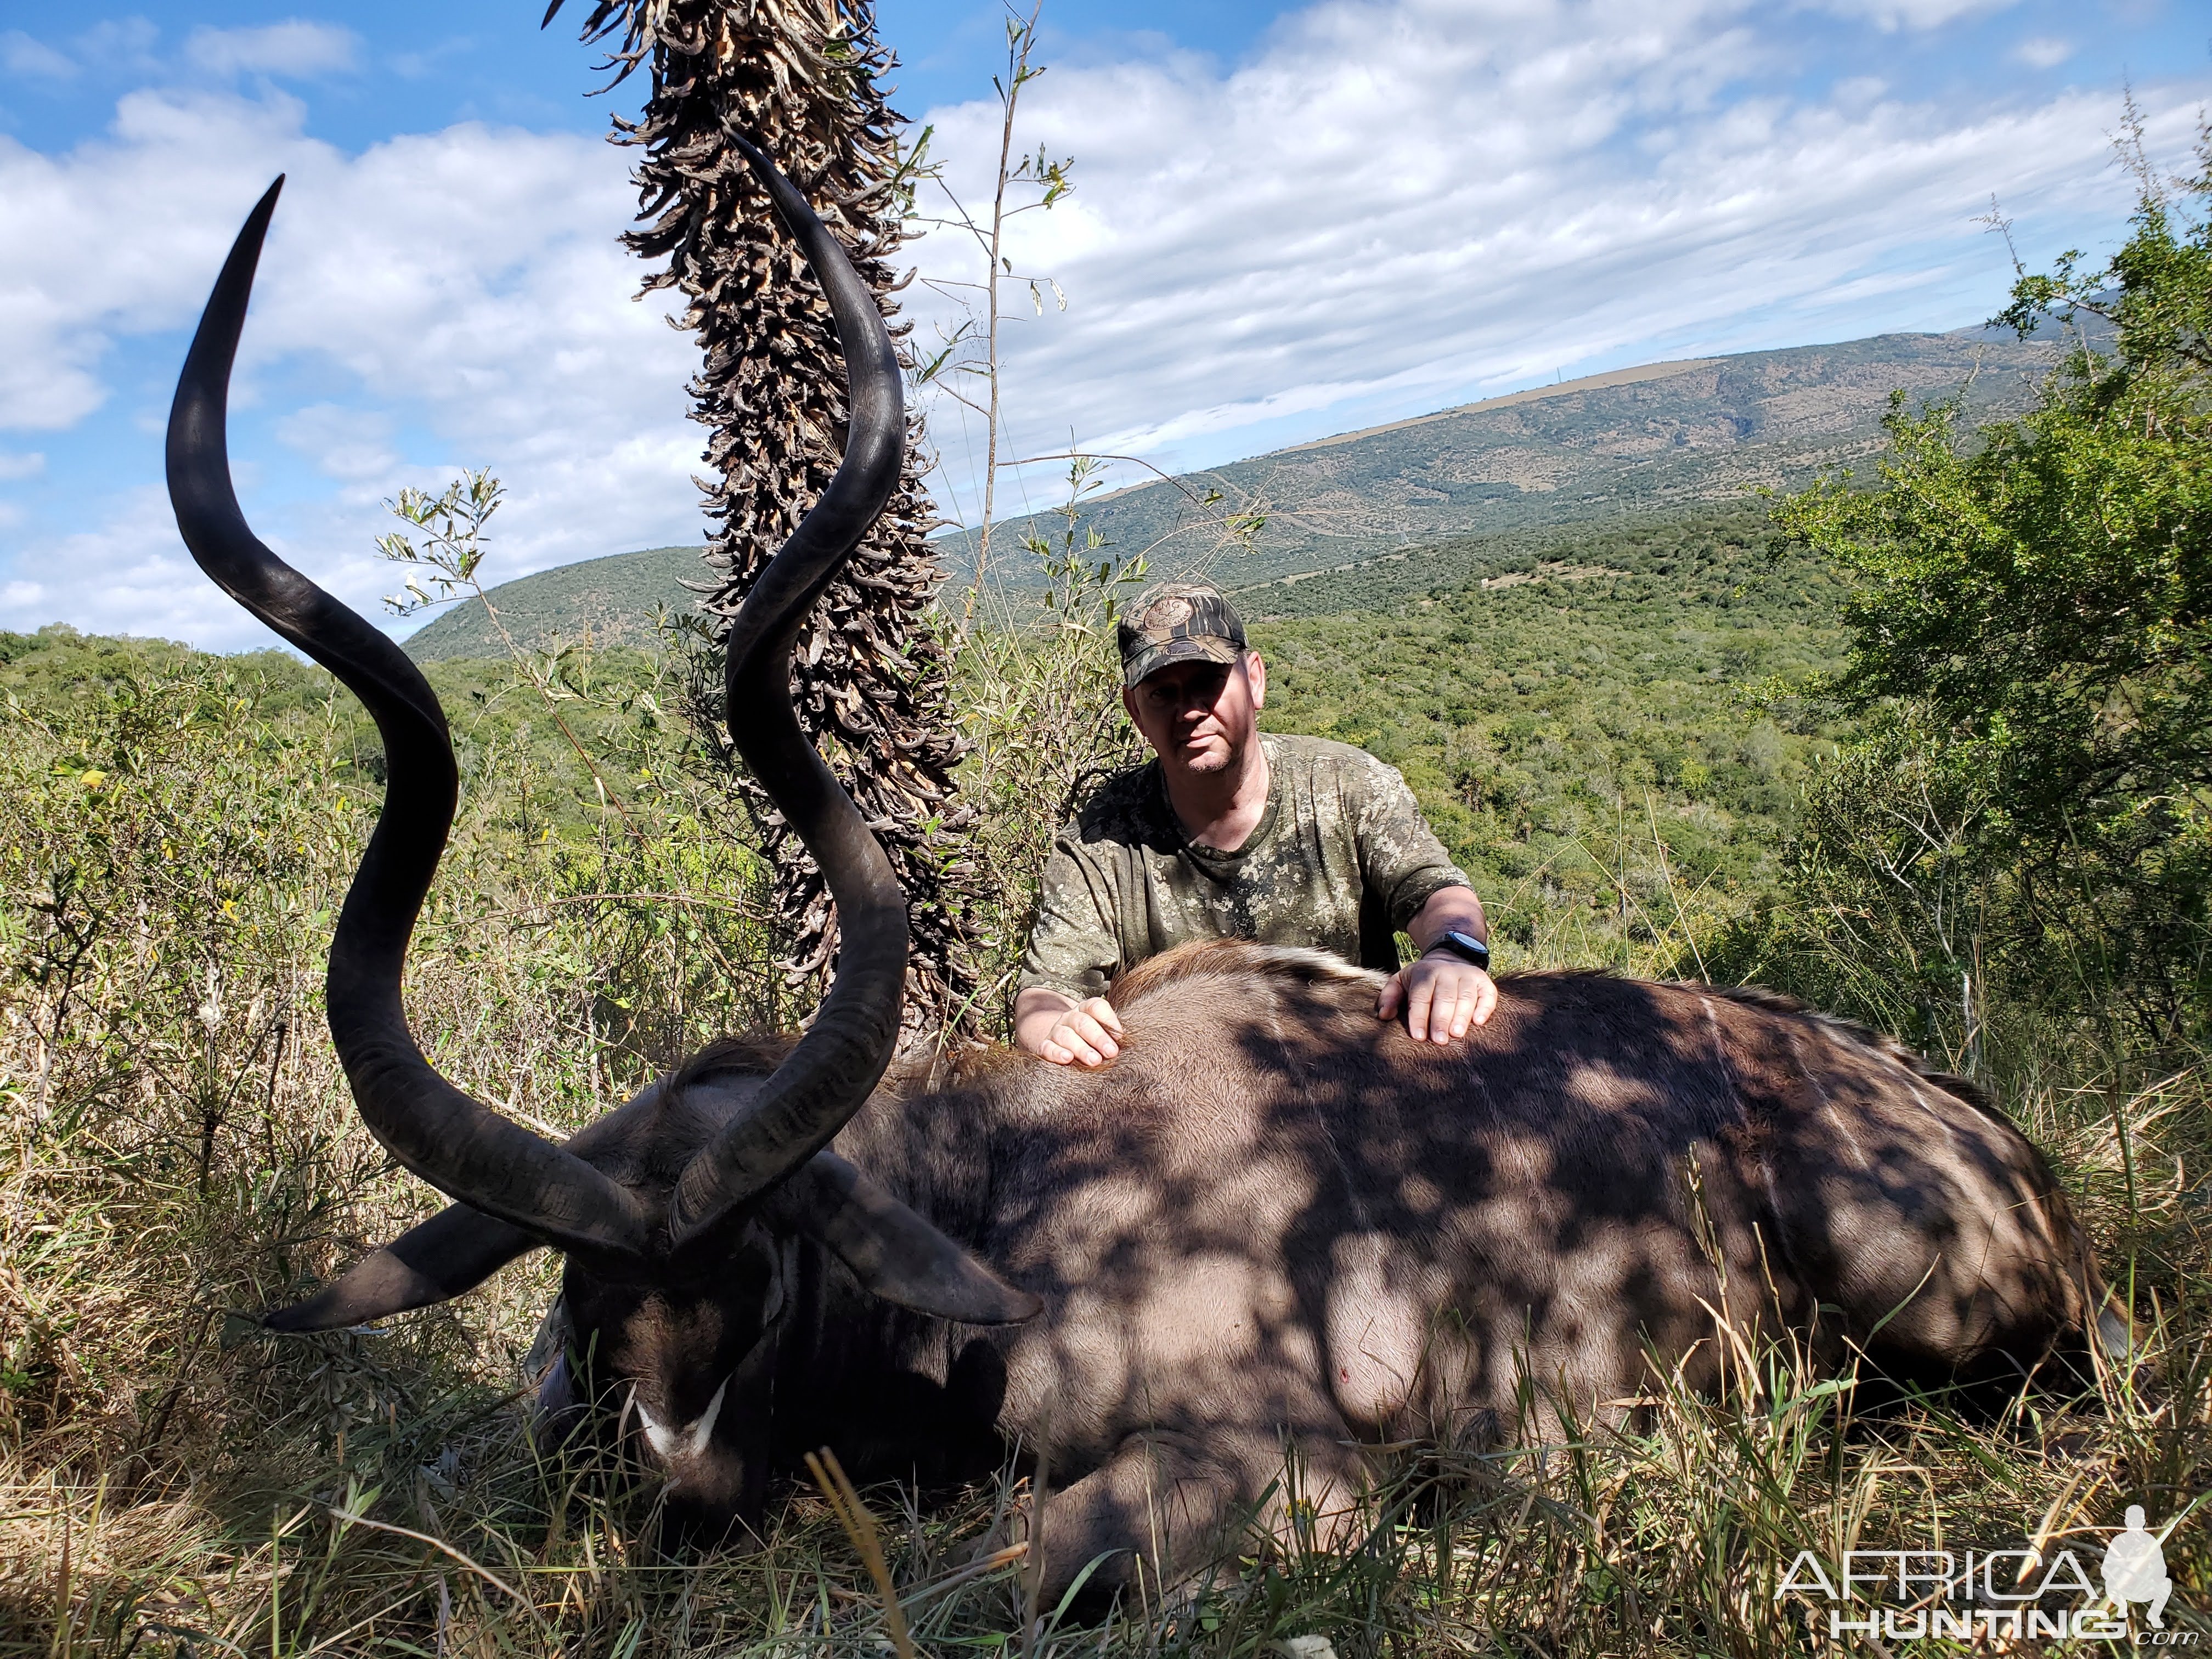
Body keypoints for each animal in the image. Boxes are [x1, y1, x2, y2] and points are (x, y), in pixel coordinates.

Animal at [168, 156, 2106, 1610]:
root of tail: (1990, 1135)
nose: (676, 1482)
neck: (1020, 1191)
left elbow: (982, 1583)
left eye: (772, 1265)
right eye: (581, 1293)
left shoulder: (1264, 1468)